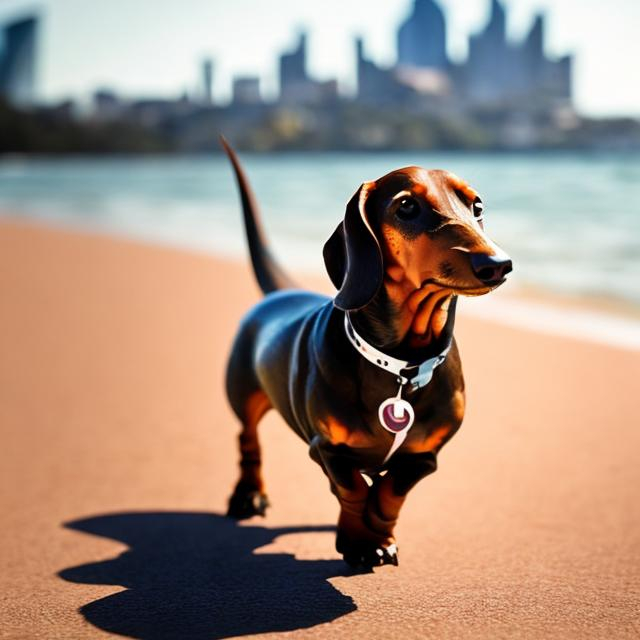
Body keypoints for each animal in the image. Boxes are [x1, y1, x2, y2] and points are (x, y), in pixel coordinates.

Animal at [222, 138, 512, 568]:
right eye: (406, 206)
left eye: (477, 207)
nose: (498, 264)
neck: (401, 366)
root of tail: (282, 292)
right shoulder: (328, 448)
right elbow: (354, 490)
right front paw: (359, 542)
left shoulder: (424, 456)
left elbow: (391, 492)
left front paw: (379, 533)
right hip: (243, 396)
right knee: (247, 440)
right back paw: (249, 494)